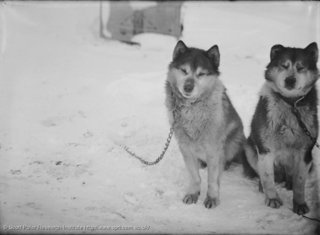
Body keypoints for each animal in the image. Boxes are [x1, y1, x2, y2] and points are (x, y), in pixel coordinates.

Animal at [165, 41, 245, 208]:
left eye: (201, 74)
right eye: (184, 70)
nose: (188, 87)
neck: (192, 107)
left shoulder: (213, 149)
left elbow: (212, 179)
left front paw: (212, 198)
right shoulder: (185, 147)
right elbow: (194, 176)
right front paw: (193, 194)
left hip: (234, 139)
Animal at [244, 41, 318, 215]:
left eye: (300, 67)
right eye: (284, 66)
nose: (290, 80)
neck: (291, 104)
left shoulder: (305, 151)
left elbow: (299, 182)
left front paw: (299, 204)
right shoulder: (265, 149)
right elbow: (267, 177)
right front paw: (272, 198)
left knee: (291, 175)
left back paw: (289, 183)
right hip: (249, 148)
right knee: (263, 173)